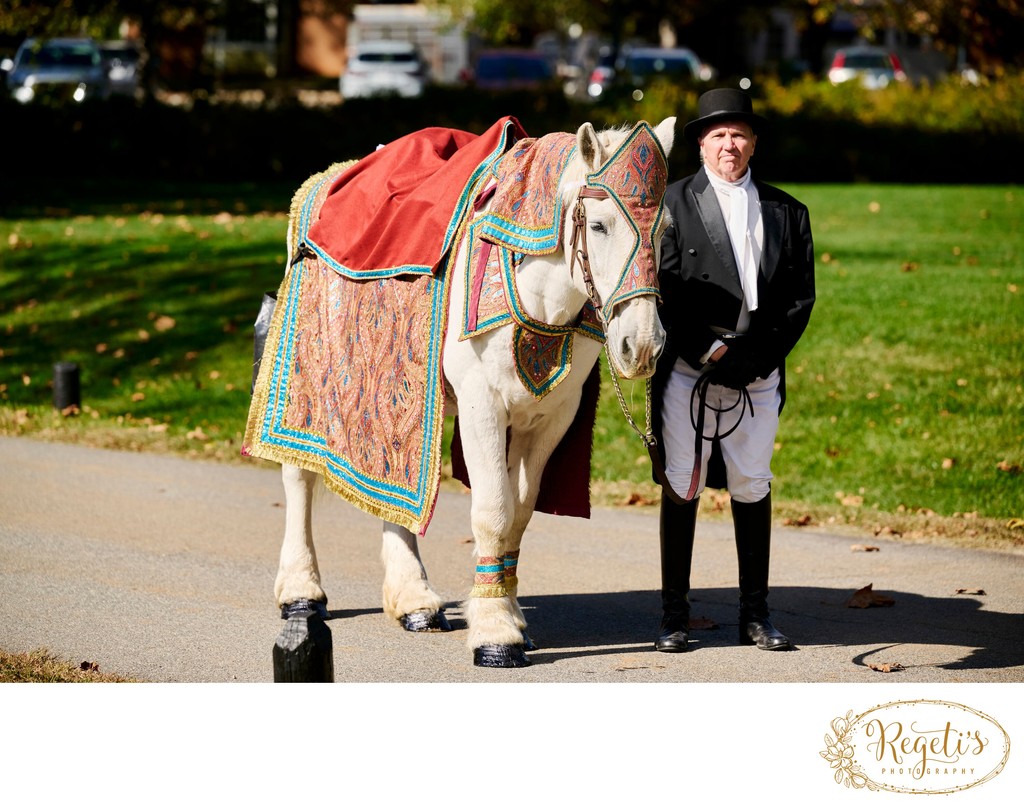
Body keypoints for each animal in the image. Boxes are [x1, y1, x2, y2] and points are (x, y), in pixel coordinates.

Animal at [258, 115, 671, 671]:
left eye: (664, 230)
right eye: (600, 225)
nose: (642, 345)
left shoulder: (549, 417)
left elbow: (519, 514)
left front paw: (506, 610)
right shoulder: (483, 406)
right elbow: (493, 512)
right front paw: (496, 634)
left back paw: (413, 598)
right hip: (309, 373)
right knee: (299, 478)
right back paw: (301, 592)